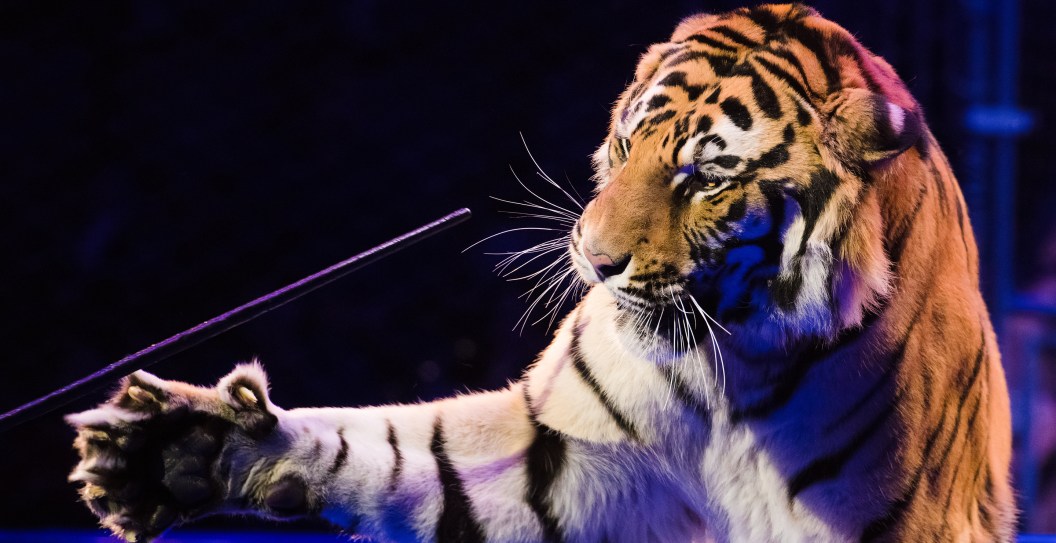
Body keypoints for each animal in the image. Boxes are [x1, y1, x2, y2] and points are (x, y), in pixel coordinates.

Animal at [67, 4, 1015, 542]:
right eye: (630, 145)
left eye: (705, 177)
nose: (593, 259)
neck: (731, 366)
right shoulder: (556, 459)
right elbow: (400, 455)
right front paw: (181, 449)